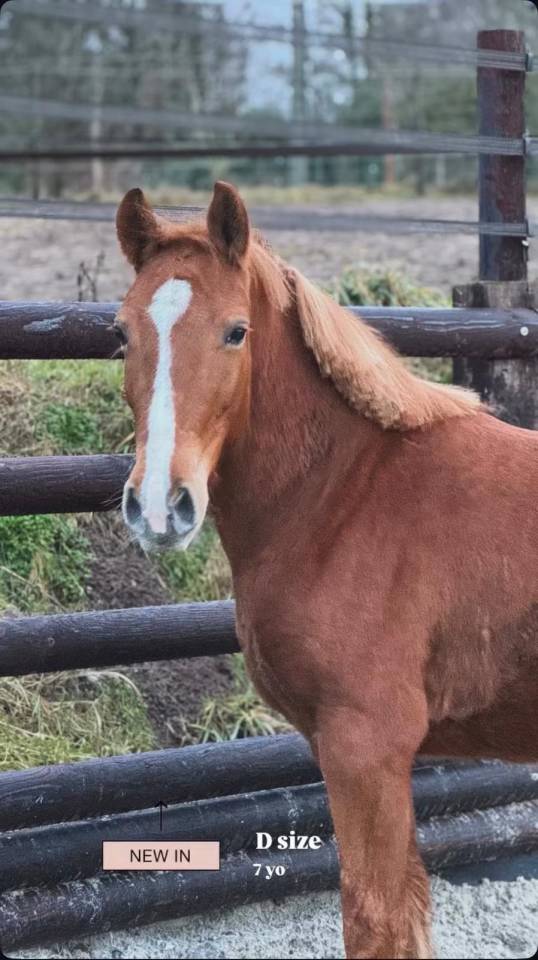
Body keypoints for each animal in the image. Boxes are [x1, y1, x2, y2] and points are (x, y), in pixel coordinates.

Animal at [114, 180, 538, 959]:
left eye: (236, 332)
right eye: (123, 335)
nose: (160, 506)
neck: (346, 495)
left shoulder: (365, 750)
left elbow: (375, 920)